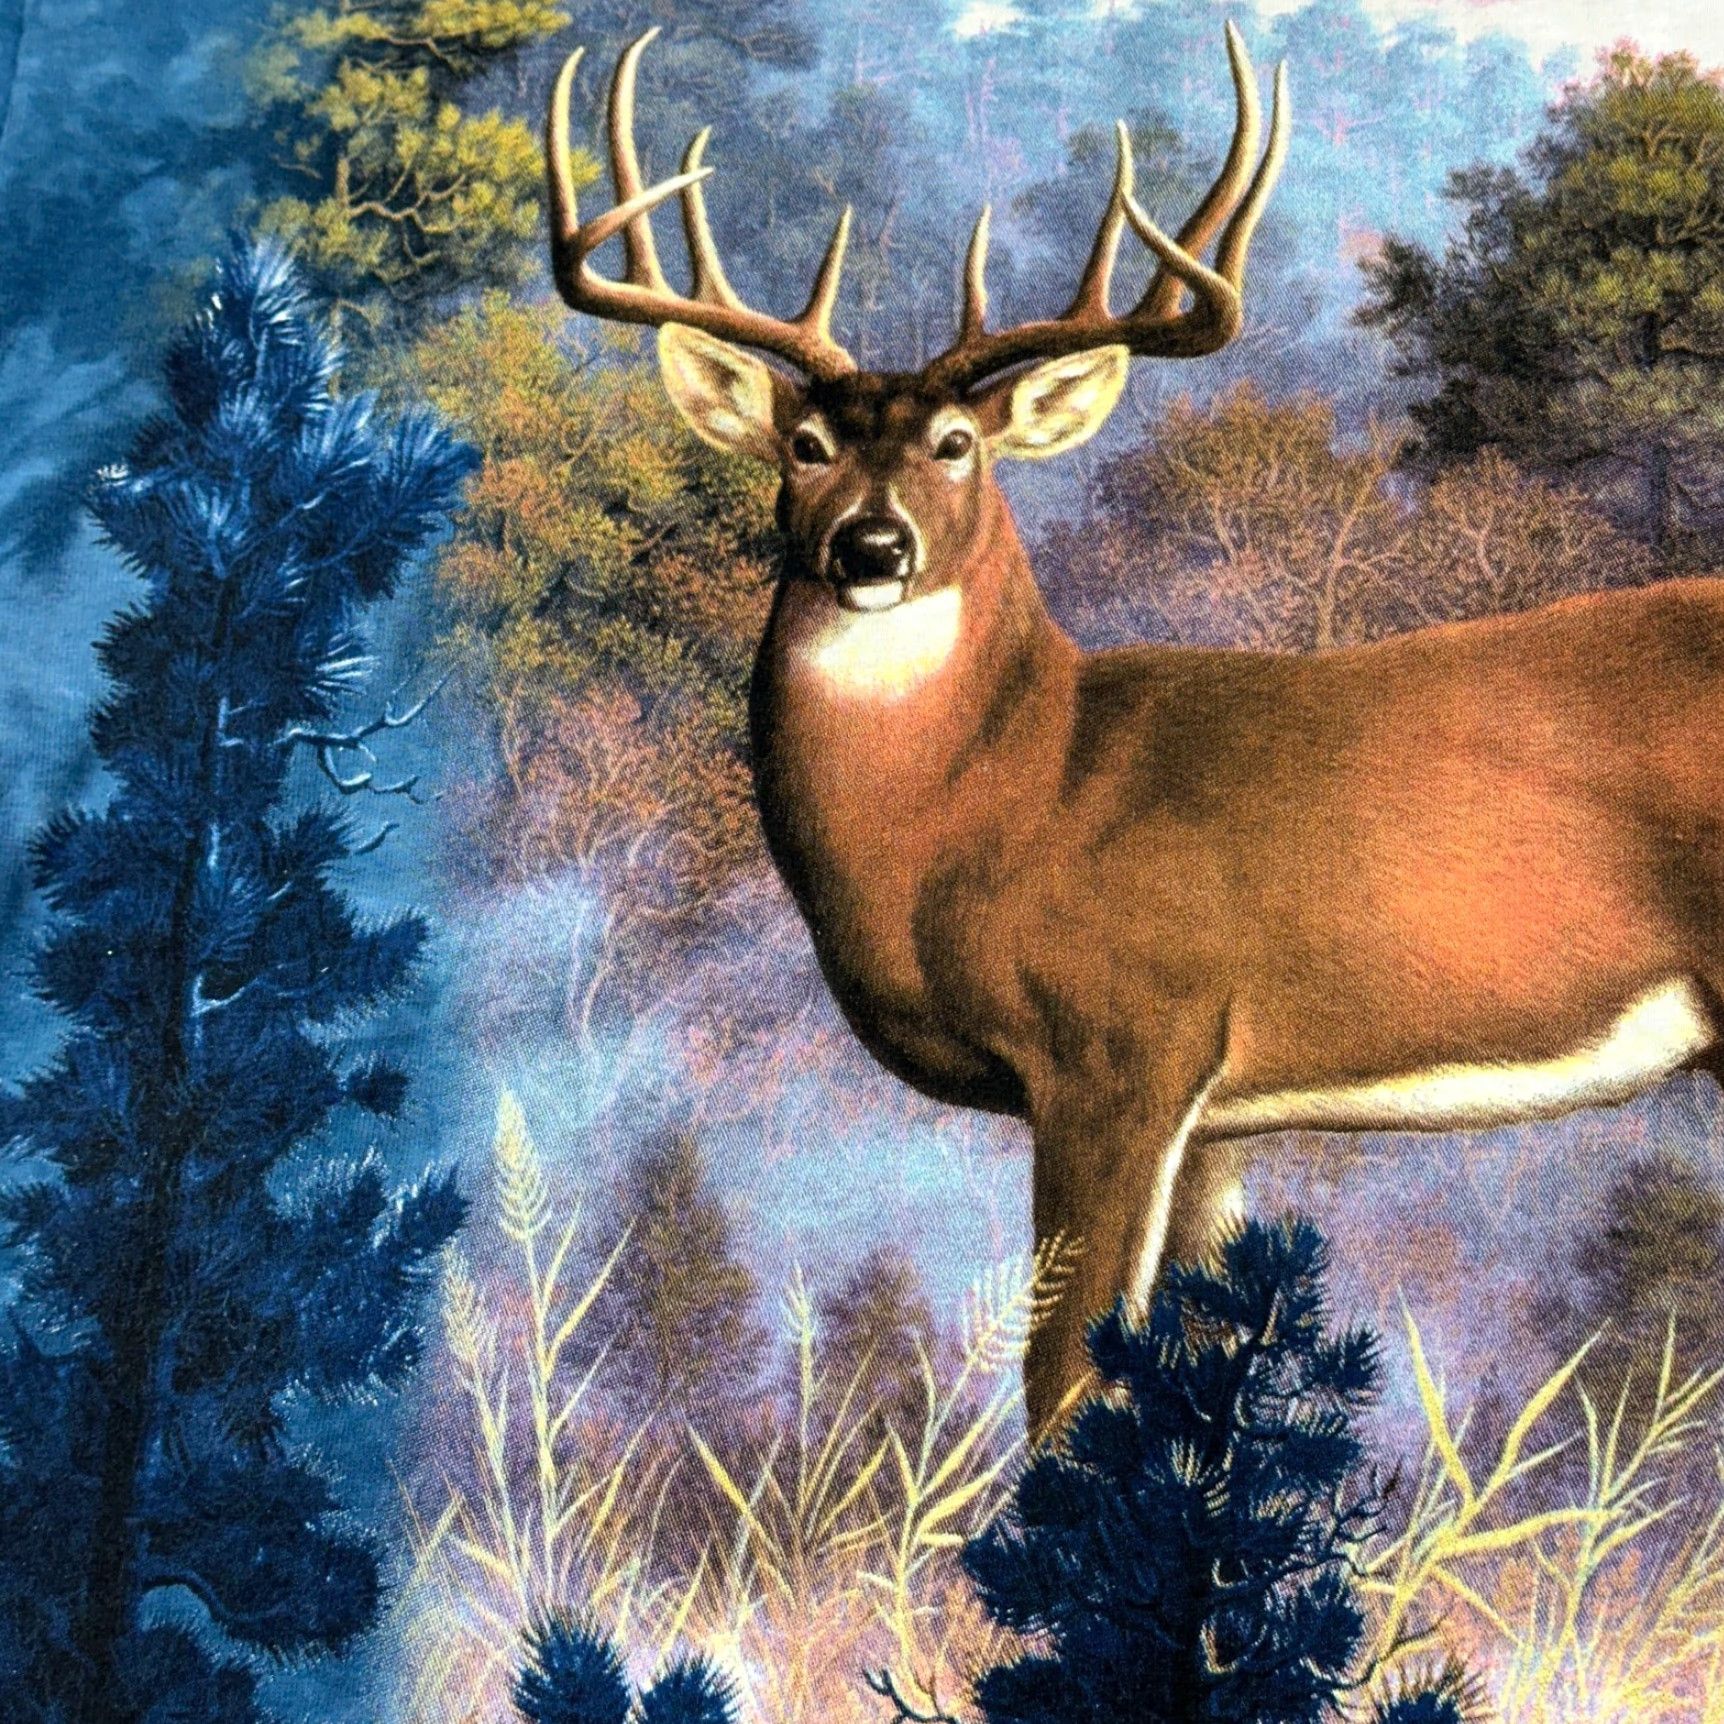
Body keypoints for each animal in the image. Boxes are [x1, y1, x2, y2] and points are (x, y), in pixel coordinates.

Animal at [545, 28, 1724, 1437]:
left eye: (956, 442)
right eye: (806, 443)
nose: (870, 548)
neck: (1002, 795)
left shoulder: (1120, 1043)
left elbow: (1067, 1379)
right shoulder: (1217, 1112)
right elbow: (1192, 1374)